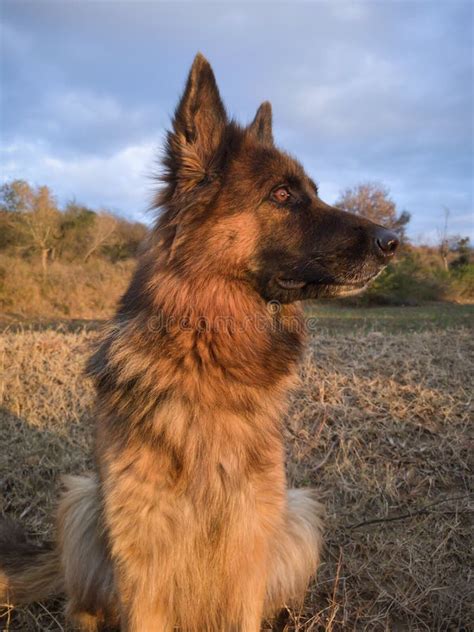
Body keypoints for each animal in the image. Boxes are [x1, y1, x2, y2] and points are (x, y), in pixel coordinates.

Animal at [0, 55, 398, 632]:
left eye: (314, 191)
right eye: (282, 195)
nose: (393, 241)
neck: (208, 353)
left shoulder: (249, 539)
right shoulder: (142, 554)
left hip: (296, 512)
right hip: (82, 500)